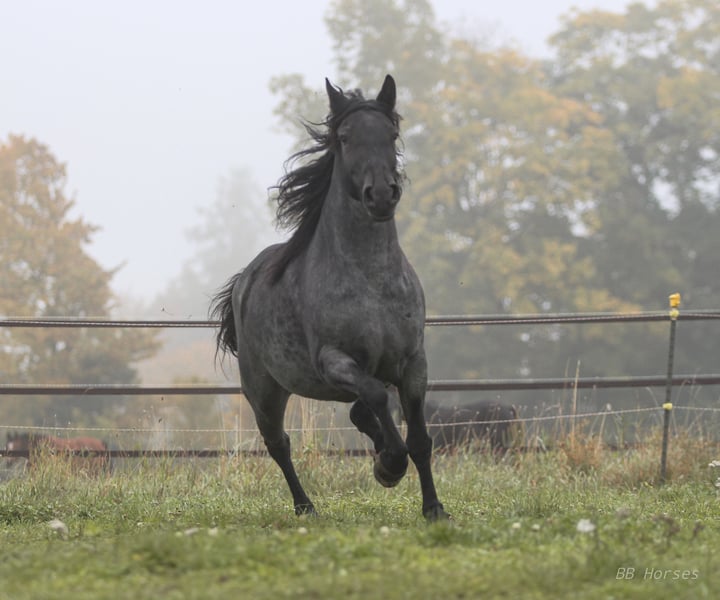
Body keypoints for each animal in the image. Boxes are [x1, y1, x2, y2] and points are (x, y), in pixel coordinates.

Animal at [211, 75, 448, 521]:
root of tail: (244, 281)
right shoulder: (334, 360)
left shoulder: (413, 362)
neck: (371, 279)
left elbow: (420, 440)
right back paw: (305, 506)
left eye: (391, 134)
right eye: (345, 136)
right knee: (280, 444)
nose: (382, 195)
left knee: (358, 412)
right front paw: (388, 467)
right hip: (263, 391)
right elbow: (378, 399)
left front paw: (434, 508)